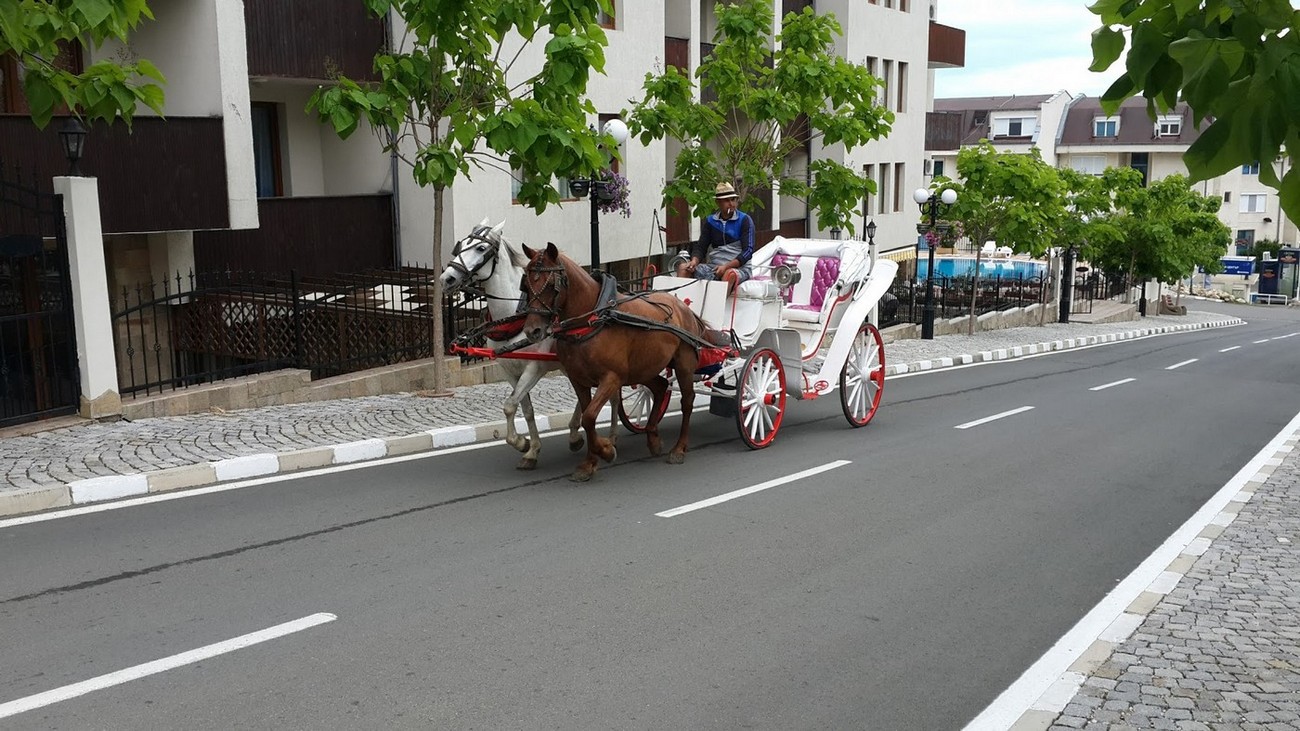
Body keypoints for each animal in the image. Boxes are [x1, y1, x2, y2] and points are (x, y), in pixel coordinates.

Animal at [444, 221, 592, 465]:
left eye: (481, 248)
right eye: (461, 245)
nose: (447, 278)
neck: (514, 315)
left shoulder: (534, 367)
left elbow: (510, 405)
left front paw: (522, 442)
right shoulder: (509, 370)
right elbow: (525, 408)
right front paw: (530, 448)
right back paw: (573, 434)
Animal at [520, 240, 712, 478]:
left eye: (550, 285)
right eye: (526, 284)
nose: (532, 331)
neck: (592, 318)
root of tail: (683, 306)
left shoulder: (611, 378)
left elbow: (589, 417)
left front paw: (606, 450)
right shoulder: (578, 380)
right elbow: (587, 417)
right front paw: (589, 462)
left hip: (683, 364)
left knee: (687, 402)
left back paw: (679, 448)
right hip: (642, 368)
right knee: (660, 387)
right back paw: (652, 437)